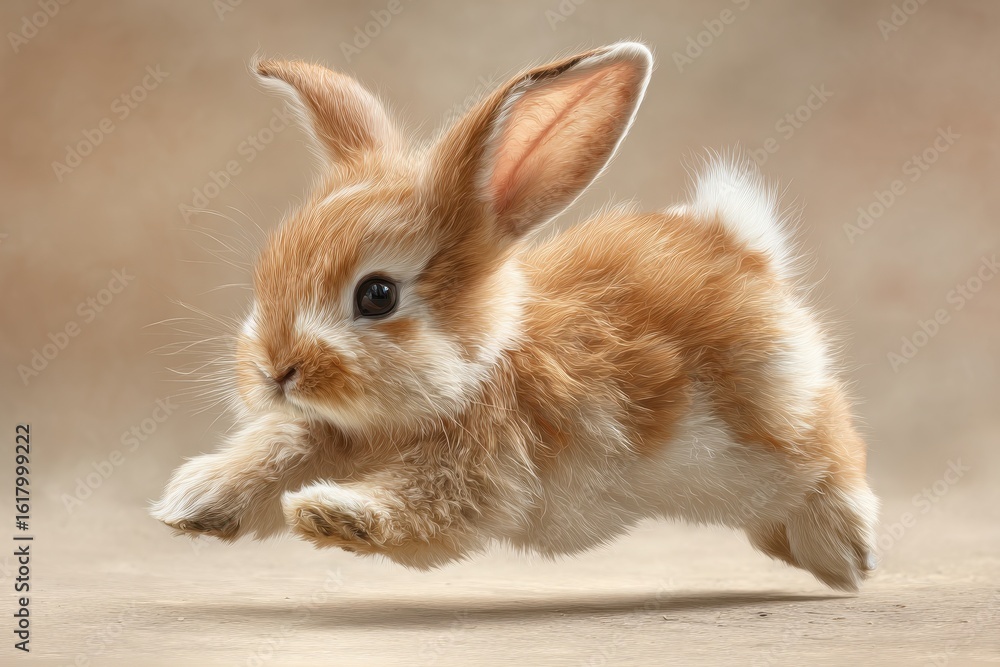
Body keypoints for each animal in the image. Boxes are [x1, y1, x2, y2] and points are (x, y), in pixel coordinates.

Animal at [152, 41, 879, 592]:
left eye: (377, 295)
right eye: (265, 274)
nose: (275, 372)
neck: (479, 360)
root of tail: (740, 245)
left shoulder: (482, 464)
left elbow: (422, 503)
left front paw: (333, 514)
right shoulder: (329, 432)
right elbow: (280, 447)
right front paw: (196, 502)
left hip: (776, 407)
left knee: (830, 443)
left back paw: (848, 551)